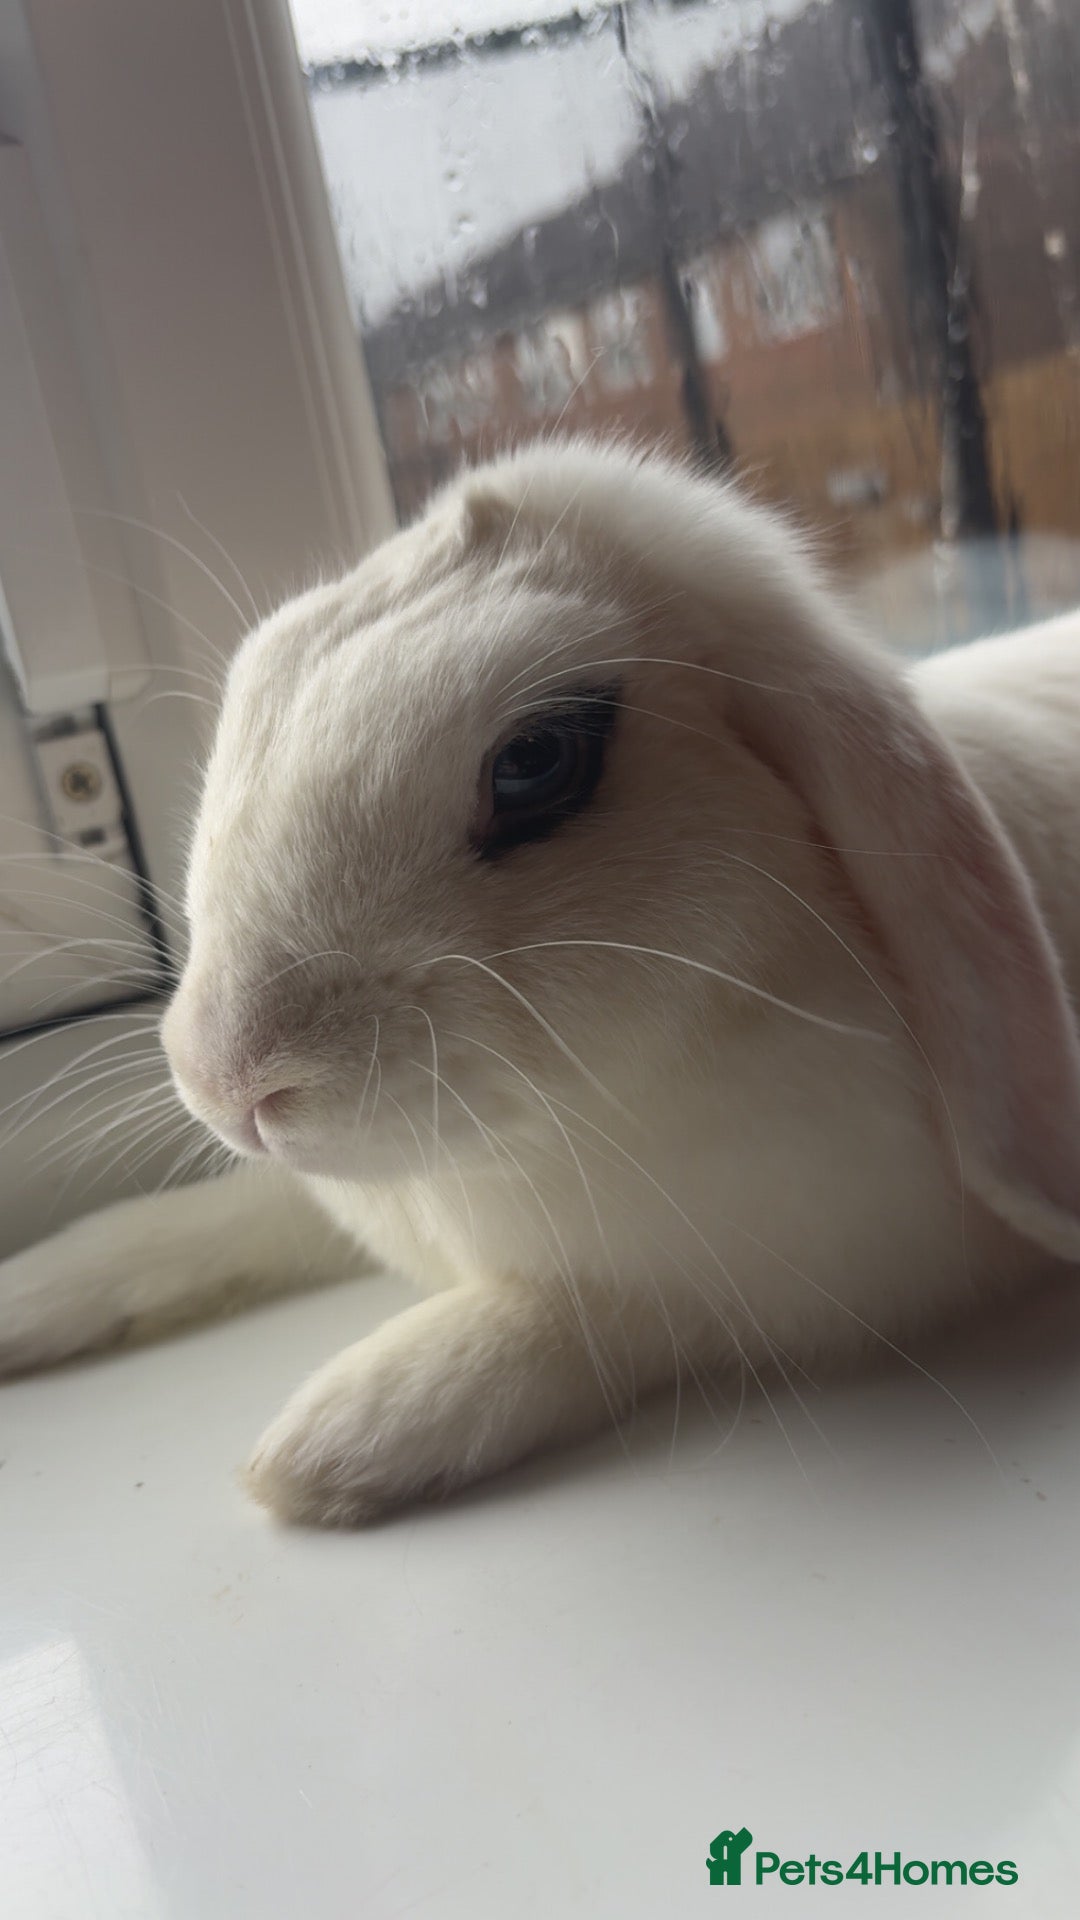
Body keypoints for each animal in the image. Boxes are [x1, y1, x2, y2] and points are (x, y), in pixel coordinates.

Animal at [2, 436, 1080, 1527]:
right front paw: (29, 1294)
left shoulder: (801, 1275)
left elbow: (591, 1314)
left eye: (535, 760)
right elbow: (214, 1218)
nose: (227, 1083)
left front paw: (347, 1431)